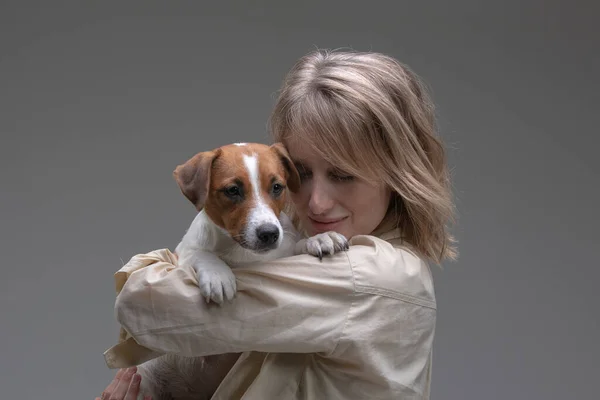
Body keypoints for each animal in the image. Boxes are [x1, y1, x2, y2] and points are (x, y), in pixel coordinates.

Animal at [131, 143, 346, 400]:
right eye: (233, 190)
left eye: (277, 187)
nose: (269, 233)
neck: (243, 254)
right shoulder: (182, 253)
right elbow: (199, 253)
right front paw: (218, 275)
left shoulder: (283, 253)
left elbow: (296, 246)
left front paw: (320, 238)